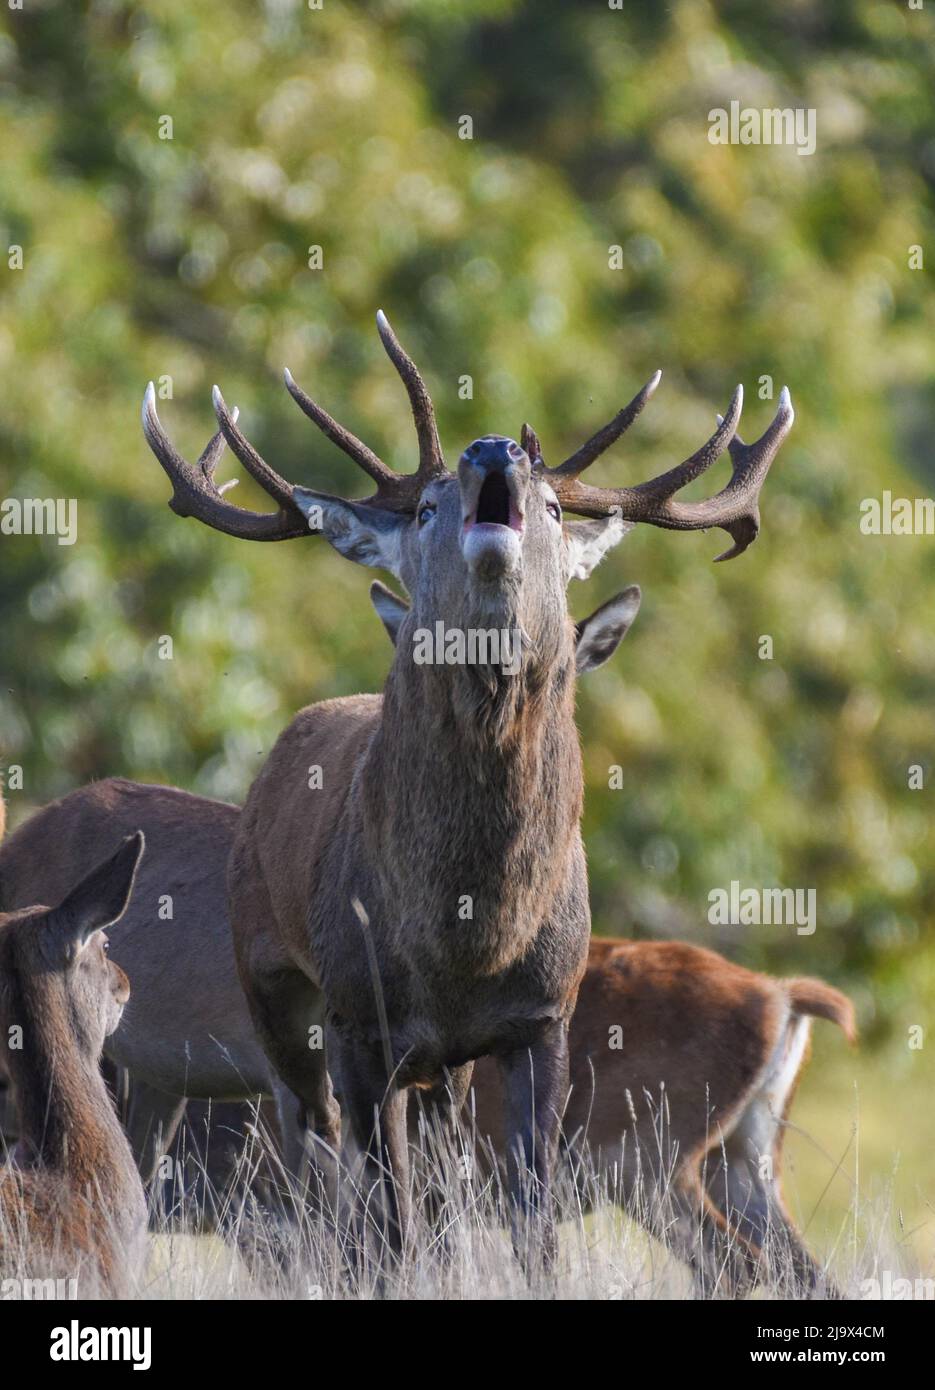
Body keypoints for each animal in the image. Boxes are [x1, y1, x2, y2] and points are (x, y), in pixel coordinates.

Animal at [137, 310, 794, 1268]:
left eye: (556, 506)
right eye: (424, 507)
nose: (494, 450)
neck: (465, 934)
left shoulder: (541, 1019)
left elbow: (528, 1221)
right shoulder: (360, 1017)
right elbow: (387, 1220)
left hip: (450, 1071)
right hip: (274, 988)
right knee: (313, 1161)